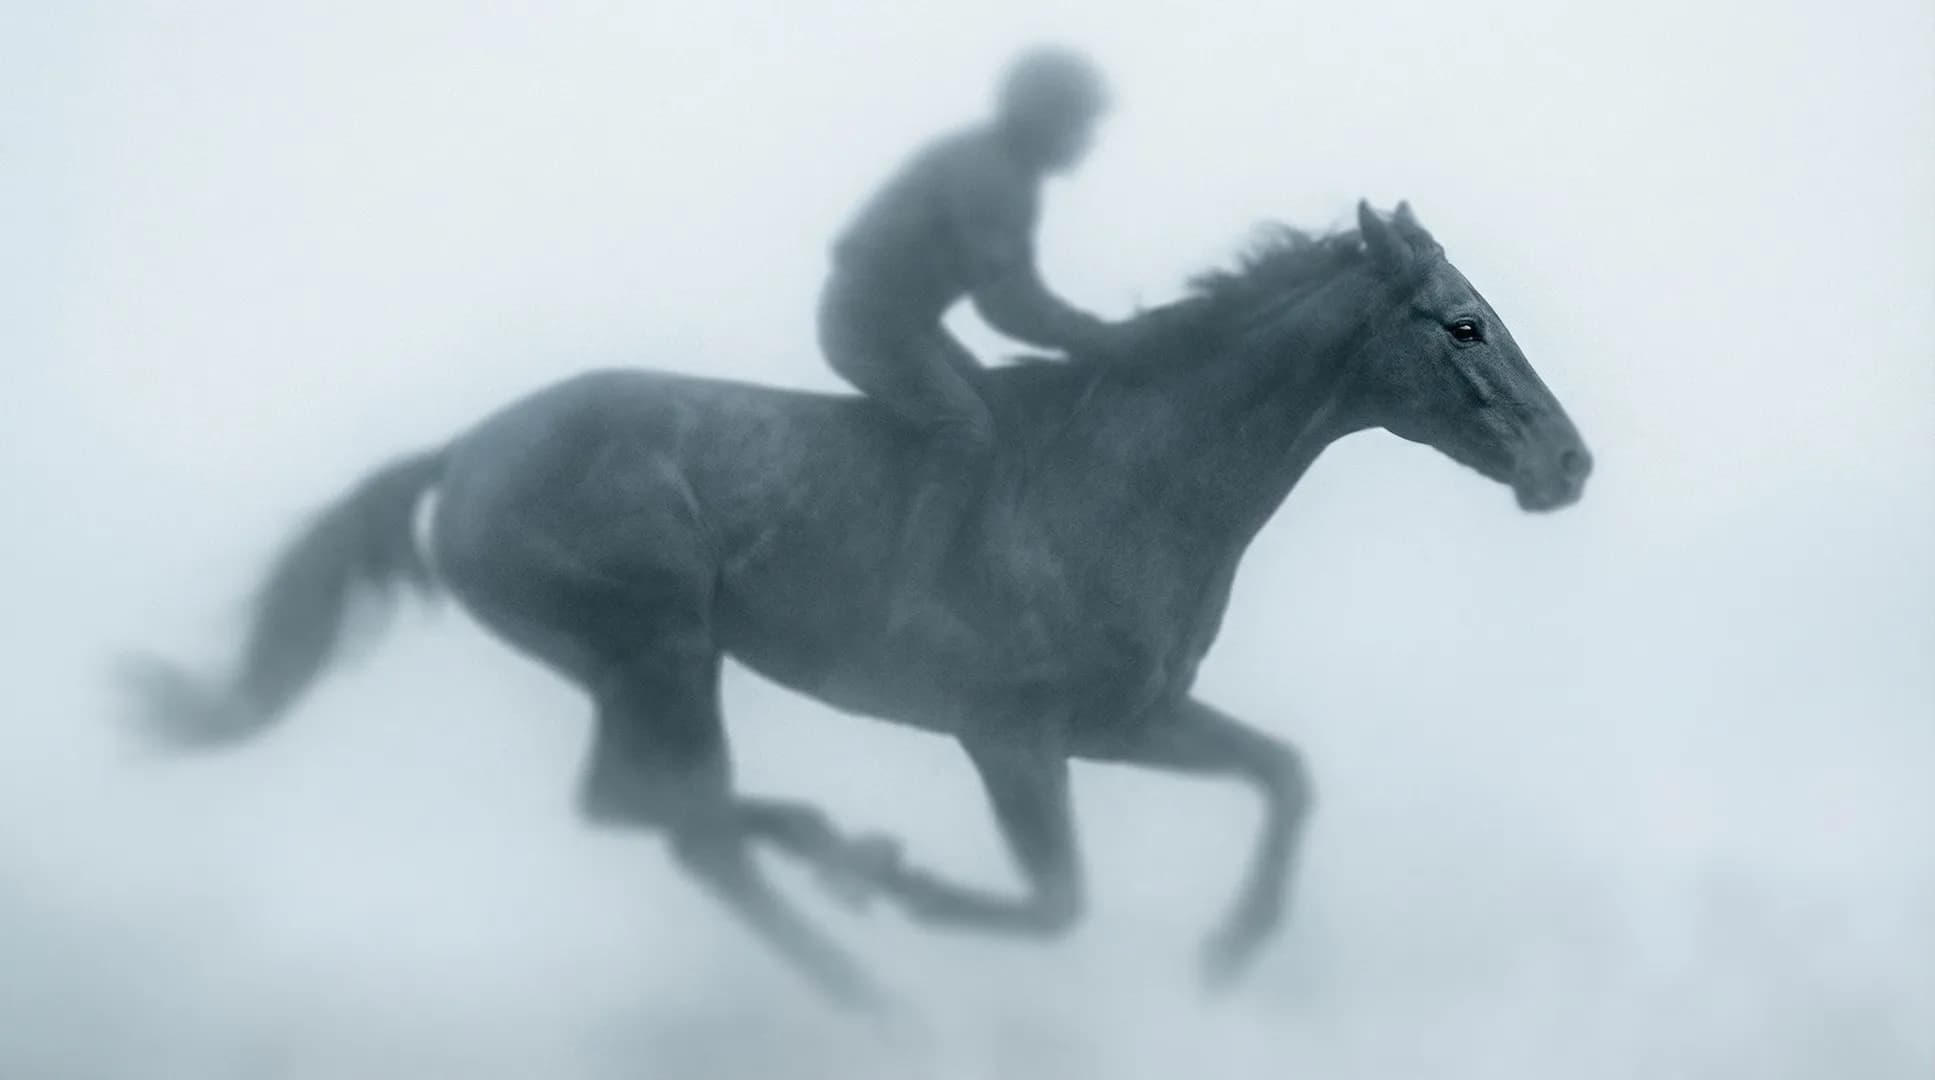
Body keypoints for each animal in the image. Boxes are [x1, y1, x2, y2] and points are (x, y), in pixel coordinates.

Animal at [122, 201, 1592, 1011]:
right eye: (1462, 322)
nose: (1569, 463)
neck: (1135, 474)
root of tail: (460, 456)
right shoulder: (1008, 732)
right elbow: (1055, 902)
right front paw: (913, 885)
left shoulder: (1126, 722)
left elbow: (1281, 776)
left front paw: (1229, 957)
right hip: (657, 642)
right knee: (678, 812)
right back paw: (856, 910)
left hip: (634, 660)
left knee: (657, 812)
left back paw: (848, 924)